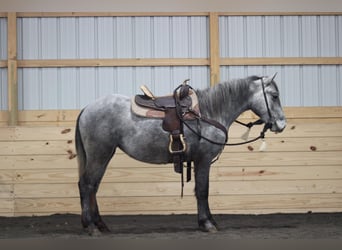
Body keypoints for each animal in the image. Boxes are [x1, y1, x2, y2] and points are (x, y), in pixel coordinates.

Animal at [76, 74, 288, 234]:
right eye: (274, 95)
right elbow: (203, 190)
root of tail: (87, 108)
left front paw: (209, 221)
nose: (282, 125)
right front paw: (207, 223)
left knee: (93, 186)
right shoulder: (203, 160)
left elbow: (201, 190)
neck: (209, 111)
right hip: (99, 154)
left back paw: (100, 224)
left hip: (103, 155)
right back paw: (91, 226)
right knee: (87, 185)